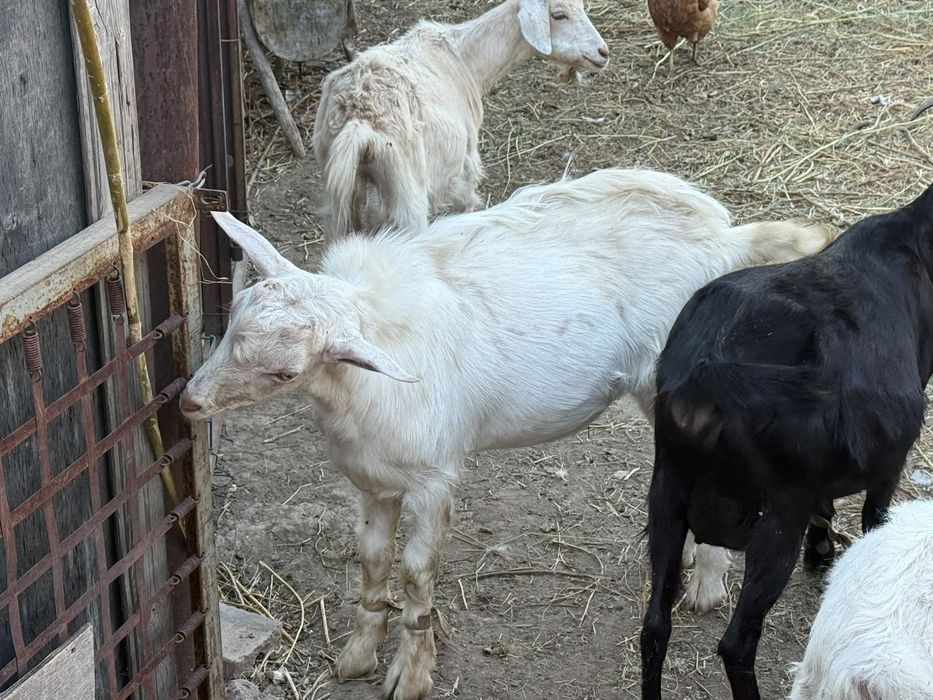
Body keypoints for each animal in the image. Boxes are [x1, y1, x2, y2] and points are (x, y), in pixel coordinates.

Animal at [180, 169, 833, 700]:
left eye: (284, 372)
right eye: (233, 320)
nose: (189, 402)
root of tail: (726, 238)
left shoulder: (432, 478)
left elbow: (416, 574)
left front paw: (412, 674)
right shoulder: (375, 478)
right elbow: (372, 560)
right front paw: (358, 655)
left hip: (671, 383)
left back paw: (708, 583)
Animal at [312, 0, 609, 240]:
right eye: (559, 15)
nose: (603, 52)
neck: (465, 58)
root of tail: (359, 120)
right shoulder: (466, 165)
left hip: (338, 203)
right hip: (407, 197)